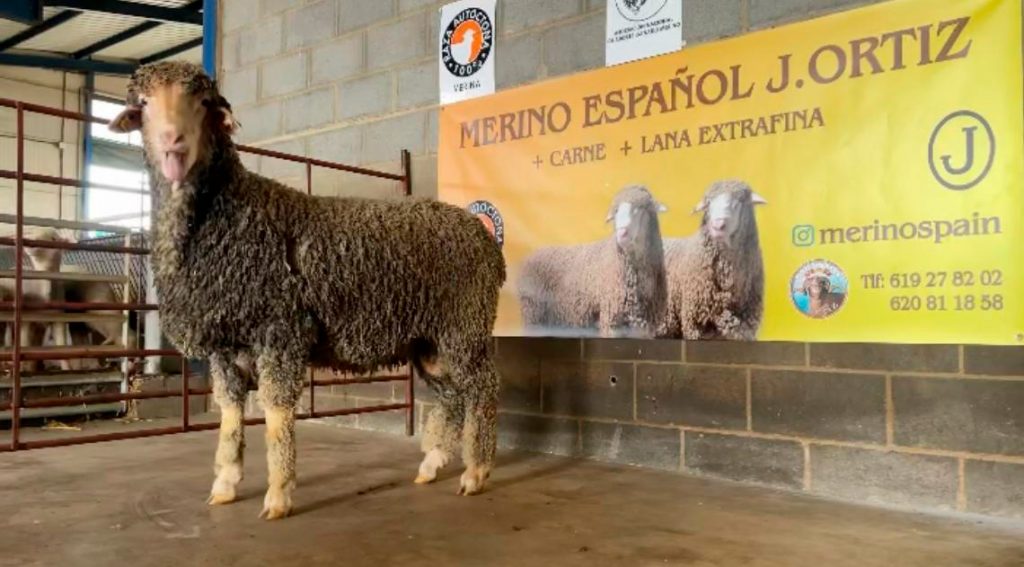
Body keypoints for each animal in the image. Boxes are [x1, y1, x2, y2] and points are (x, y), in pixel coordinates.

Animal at [107, 60, 506, 520]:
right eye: (144, 104)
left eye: (203, 102)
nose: (174, 141)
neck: (227, 215)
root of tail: (482, 236)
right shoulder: (224, 344)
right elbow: (229, 412)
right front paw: (225, 483)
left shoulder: (280, 328)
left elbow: (277, 410)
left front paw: (278, 494)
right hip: (431, 341)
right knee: (452, 395)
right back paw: (432, 464)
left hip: (465, 325)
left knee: (482, 389)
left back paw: (476, 472)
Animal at [516, 185, 668, 338]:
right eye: (616, 211)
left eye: (641, 207)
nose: (622, 234)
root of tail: (531, 255)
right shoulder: (610, 321)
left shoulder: (644, 327)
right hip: (533, 314)